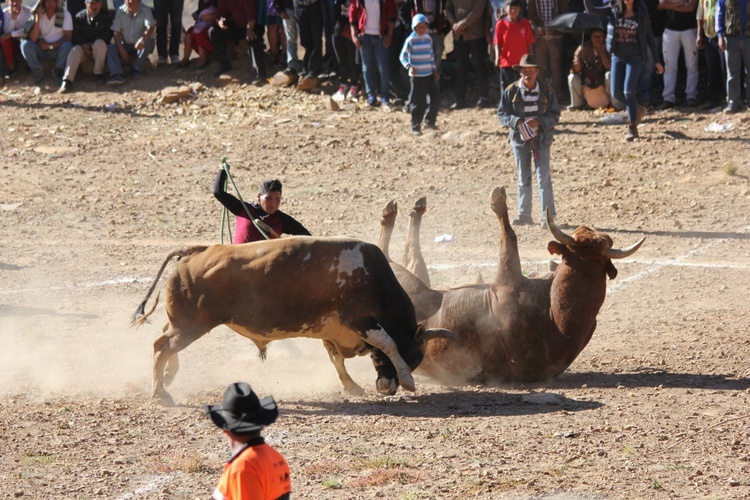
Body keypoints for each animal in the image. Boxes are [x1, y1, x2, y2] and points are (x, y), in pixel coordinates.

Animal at [132, 236, 456, 404]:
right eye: (414, 356)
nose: (386, 387)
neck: (372, 277)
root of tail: (195, 251)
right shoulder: (361, 320)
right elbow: (387, 342)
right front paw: (408, 379)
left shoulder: (331, 330)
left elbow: (336, 358)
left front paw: (351, 385)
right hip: (191, 325)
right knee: (161, 346)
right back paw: (160, 392)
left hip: (182, 323)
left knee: (164, 339)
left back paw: (168, 377)